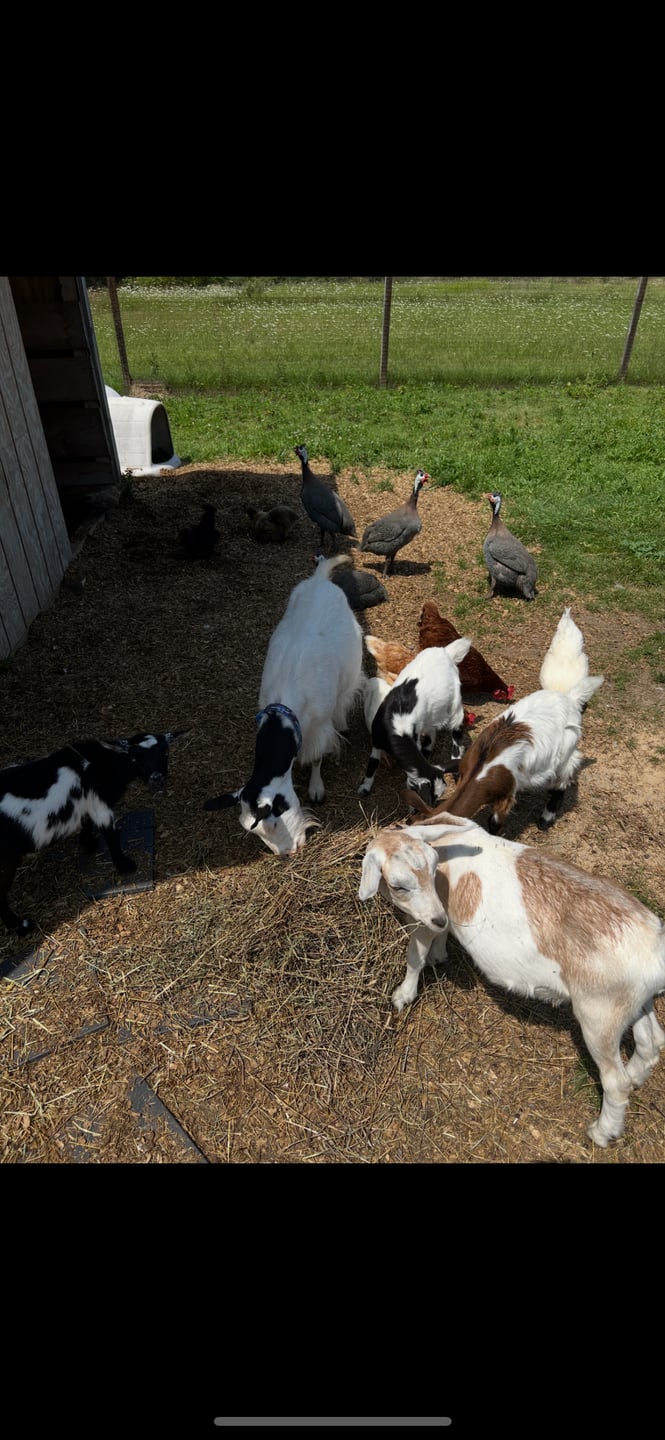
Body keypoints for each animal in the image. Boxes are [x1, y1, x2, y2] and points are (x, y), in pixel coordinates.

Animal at [0, 731, 185, 935]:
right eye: (135, 757)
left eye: (166, 753)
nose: (157, 778)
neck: (103, 763)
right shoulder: (99, 804)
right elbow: (111, 835)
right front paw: (125, 865)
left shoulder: (88, 804)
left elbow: (86, 822)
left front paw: (88, 843)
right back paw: (21, 926)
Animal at [204, 554, 363, 857]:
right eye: (254, 832)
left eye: (273, 821)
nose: (287, 853)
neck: (287, 711)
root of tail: (319, 579)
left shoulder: (319, 726)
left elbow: (316, 757)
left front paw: (316, 788)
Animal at [358, 639, 472, 803]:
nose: (433, 807)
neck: (398, 727)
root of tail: (446, 652)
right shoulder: (377, 741)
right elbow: (373, 763)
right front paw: (364, 788)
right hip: (432, 712)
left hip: (454, 703)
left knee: (456, 729)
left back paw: (455, 757)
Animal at [359, 813, 665, 1147]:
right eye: (400, 885)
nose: (440, 918)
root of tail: (655, 949)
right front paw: (440, 955)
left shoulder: (425, 919)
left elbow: (416, 956)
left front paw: (403, 995)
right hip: (633, 1003)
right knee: (651, 1043)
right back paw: (636, 1078)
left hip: (599, 1015)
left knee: (614, 1081)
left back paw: (602, 1131)